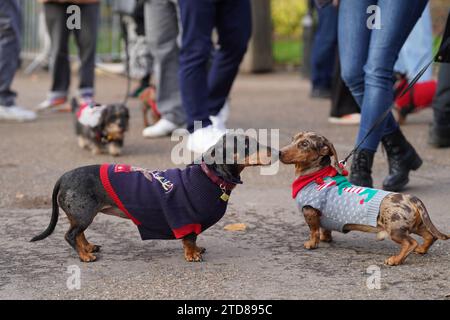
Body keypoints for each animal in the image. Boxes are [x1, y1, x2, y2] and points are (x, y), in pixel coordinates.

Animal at [30, 132, 274, 262]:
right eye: (246, 144)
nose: (276, 150)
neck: (209, 177)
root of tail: (63, 177)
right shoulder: (185, 219)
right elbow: (189, 239)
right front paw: (192, 254)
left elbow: (194, 239)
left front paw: (197, 250)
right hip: (84, 215)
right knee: (70, 235)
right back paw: (84, 256)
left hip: (82, 215)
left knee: (78, 234)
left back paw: (88, 248)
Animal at [280, 131, 448, 266]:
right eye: (293, 139)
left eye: (304, 144)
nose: (280, 152)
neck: (316, 175)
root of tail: (411, 198)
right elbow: (325, 228)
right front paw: (325, 238)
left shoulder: (310, 211)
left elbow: (313, 230)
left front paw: (311, 243)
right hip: (416, 225)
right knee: (430, 236)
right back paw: (421, 249)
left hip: (395, 230)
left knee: (410, 243)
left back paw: (395, 260)